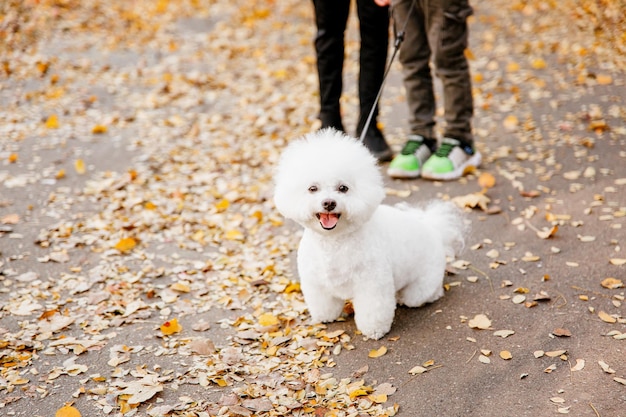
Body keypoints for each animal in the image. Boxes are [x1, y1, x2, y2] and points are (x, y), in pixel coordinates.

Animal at [272, 128, 464, 340]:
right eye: (312, 188)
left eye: (343, 188)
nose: (329, 203)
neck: (334, 242)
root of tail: (433, 230)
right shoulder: (317, 283)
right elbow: (324, 303)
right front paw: (325, 317)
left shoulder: (372, 284)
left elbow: (373, 310)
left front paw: (374, 330)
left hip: (422, 283)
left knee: (422, 294)